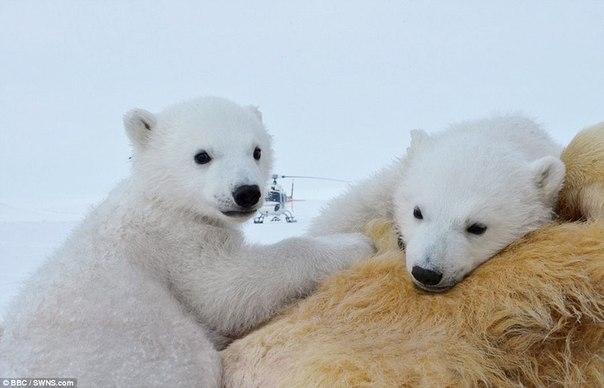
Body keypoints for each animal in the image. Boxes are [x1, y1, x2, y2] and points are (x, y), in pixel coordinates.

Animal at [0, 96, 372, 384]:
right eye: (202, 155)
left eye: (256, 150)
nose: (247, 193)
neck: (161, 201)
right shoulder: (175, 242)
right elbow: (226, 290)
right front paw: (354, 243)